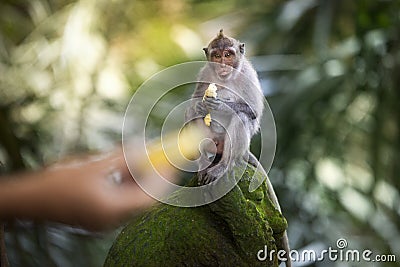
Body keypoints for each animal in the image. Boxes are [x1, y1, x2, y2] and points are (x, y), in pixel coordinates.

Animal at [186, 29, 292, 267]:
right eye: (216, 56)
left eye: (228, 54)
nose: (223, 65)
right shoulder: (204, 72)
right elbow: (194, 103)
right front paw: (200, 104)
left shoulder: (248, 75)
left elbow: (252, 111)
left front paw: (221, 105)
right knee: (193, 116)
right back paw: (203, 162)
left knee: (241, 118)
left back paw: (225, 165)